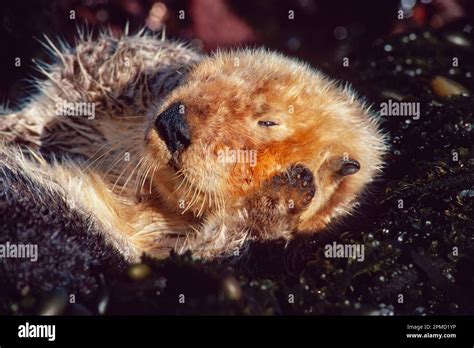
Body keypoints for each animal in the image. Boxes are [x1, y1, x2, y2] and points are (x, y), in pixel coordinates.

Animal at [0, 30, 386, 264]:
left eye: (268, 122)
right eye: (200, 78)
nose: (173, 122)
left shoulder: (180, 250)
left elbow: (218, 241)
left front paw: (286, 192)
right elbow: (91, 66)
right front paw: (169, 71)